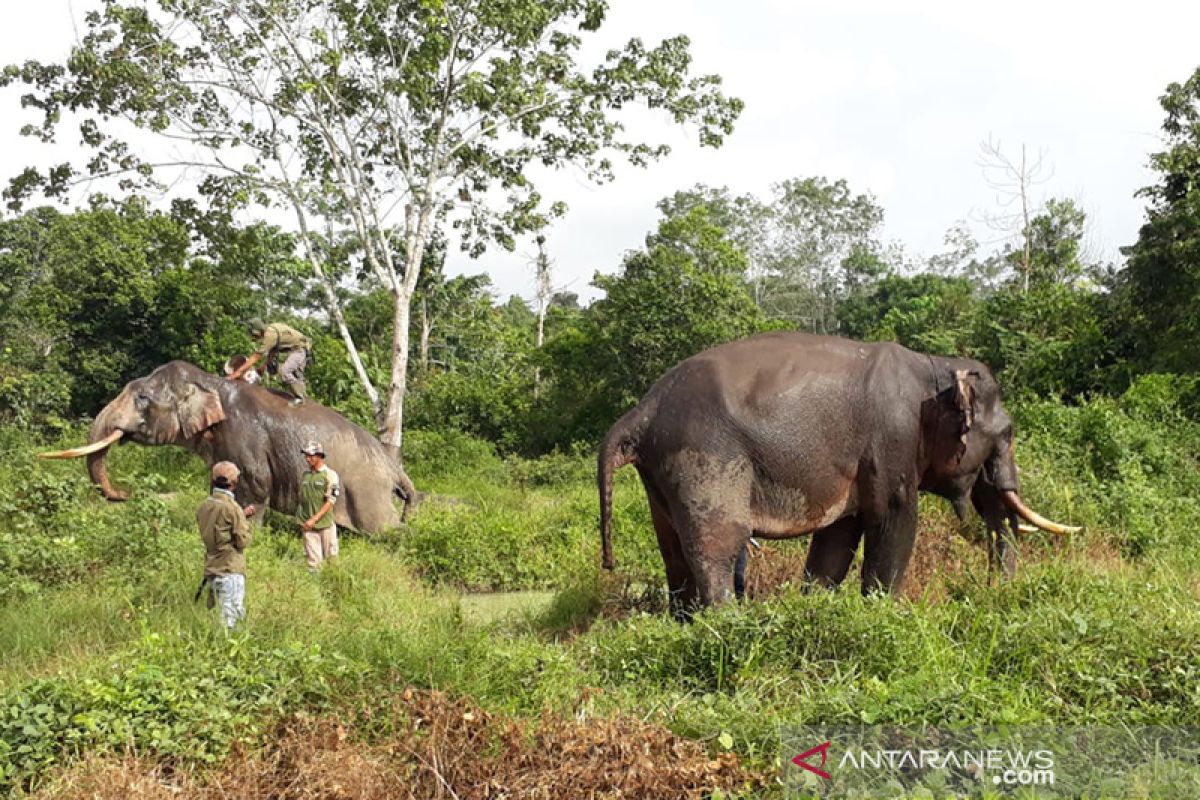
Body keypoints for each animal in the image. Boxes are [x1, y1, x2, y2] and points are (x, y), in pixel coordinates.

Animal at [600, 331, 1080, 618]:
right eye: (1008, 435)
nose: (994, 594)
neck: (934, 368)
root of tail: (641, 411)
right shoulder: (893, 441)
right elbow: (895, 520)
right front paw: (885, 614)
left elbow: (837, 539)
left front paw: (817, 607)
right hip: (705, 458)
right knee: (717, 544)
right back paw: (729, 622)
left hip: (661, 474)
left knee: (672, 549)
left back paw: (685, 623)